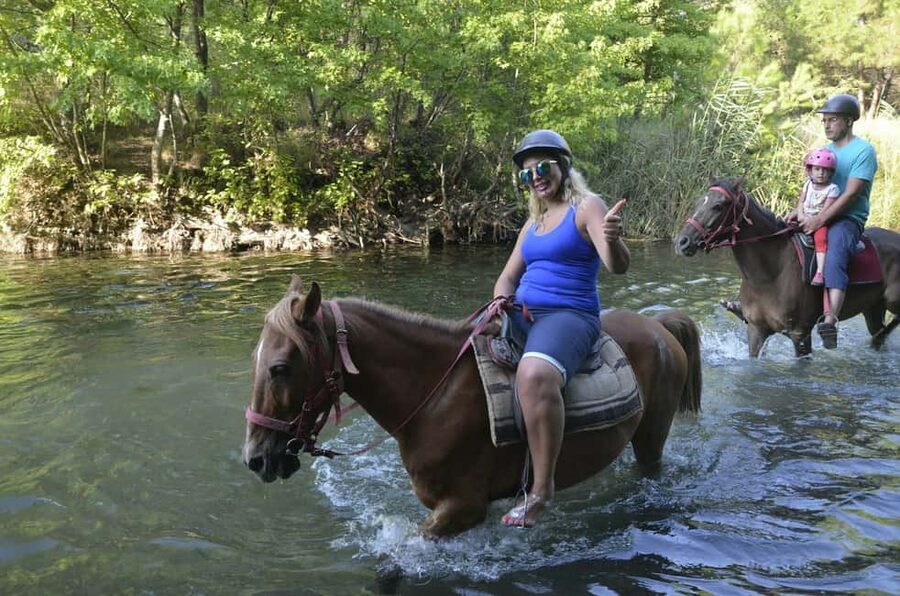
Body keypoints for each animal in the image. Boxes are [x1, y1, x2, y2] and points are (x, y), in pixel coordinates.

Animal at [242, 275, 702, 538]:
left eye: (279, 368)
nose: (255, 459)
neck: (434, 395)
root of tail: (657, 325)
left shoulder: (462, 508)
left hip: (651, 437)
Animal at [674, 177, 900, 357]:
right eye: (699, 202)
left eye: (719, 206)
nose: (682, 242)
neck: (769, 275)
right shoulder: (756, 330)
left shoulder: (800, 334)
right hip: (873, 308)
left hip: (891, 300)